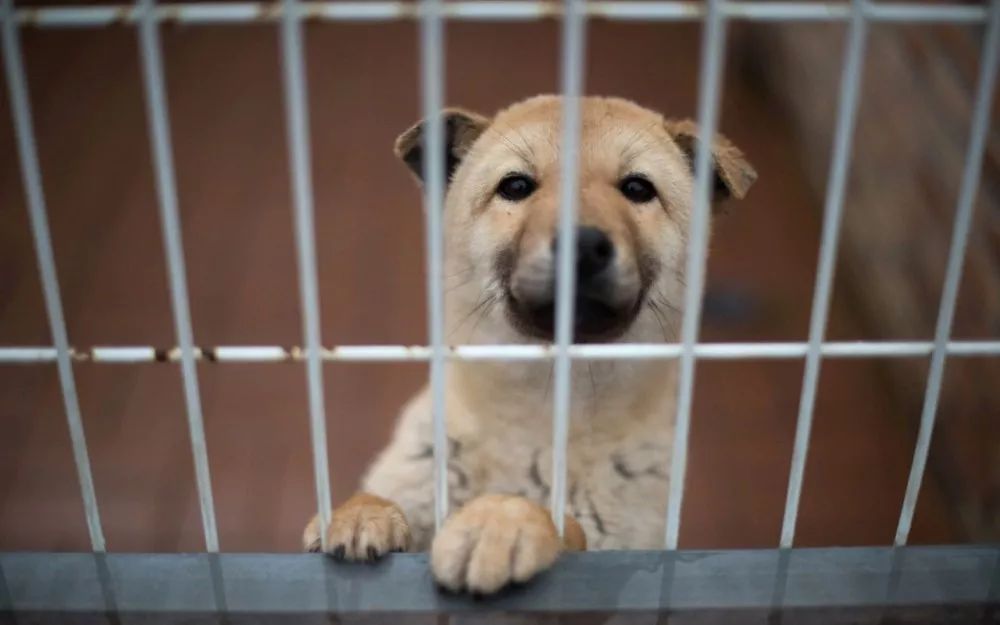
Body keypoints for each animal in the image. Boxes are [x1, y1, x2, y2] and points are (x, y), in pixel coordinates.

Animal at [303, 95, 756, 594]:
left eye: (638, 189)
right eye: (516, 186)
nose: (583, 245)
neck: (540, 410)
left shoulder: (620, 548)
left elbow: (565, 523)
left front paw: (503, 521)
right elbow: (380, 497)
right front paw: (363, 512)